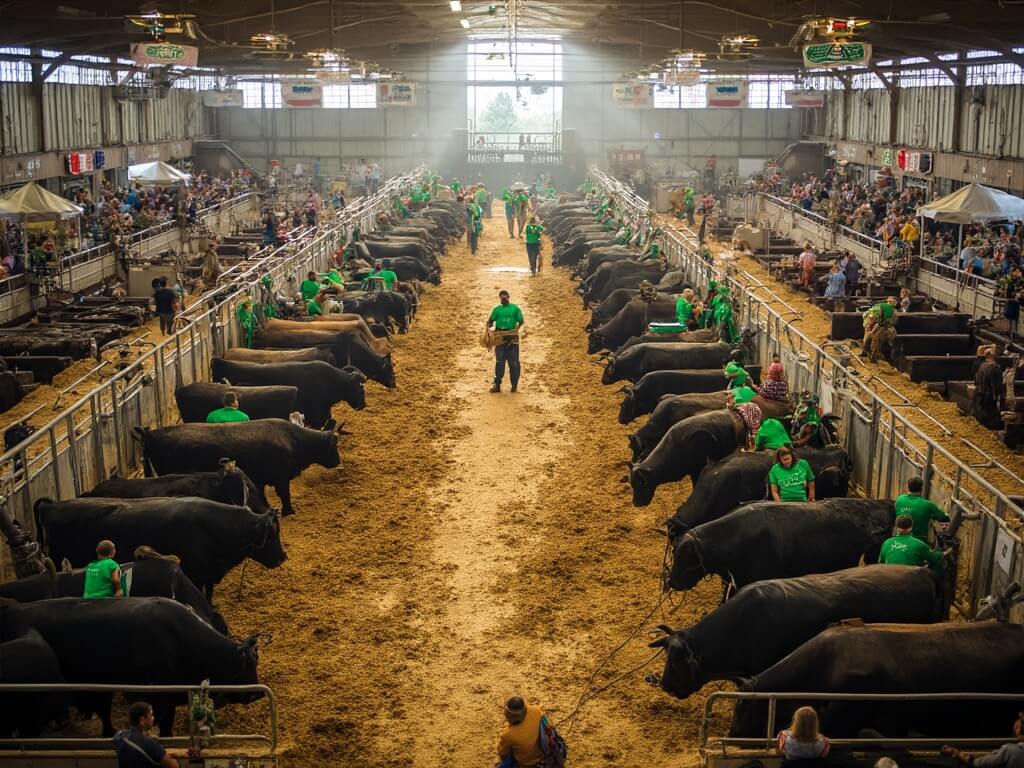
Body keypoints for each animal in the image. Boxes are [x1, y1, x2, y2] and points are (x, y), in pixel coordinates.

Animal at [0, 597, 267, 736]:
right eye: (245, 665)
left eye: (256, 660)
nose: (256, 694)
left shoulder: (172, 694)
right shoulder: (147, 693)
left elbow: (166, 726)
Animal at [133, 419, 342, 516]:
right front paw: (289, 511)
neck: (292, 439)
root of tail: (150, 434)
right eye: (335, 446)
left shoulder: (260, 480)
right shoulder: (281, 478)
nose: (338, 461)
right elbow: (285, 495)